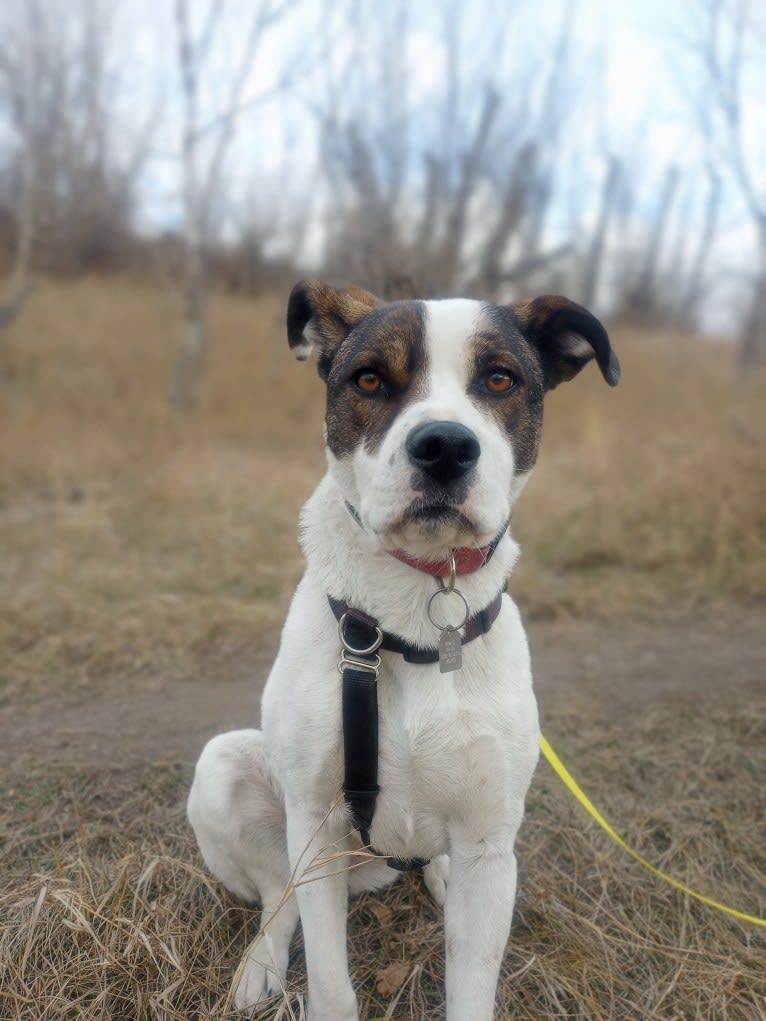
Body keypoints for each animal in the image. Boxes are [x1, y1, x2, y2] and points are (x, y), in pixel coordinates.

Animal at [187, 279, 625, 1021]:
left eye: (500, 378)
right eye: (369, 379)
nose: (445, 446)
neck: (416, 615)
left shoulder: (489, 837)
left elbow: (471, 989)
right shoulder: (316, 824)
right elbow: (330, 981)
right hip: (229, 774)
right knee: (279, 897)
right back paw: (261, 964)